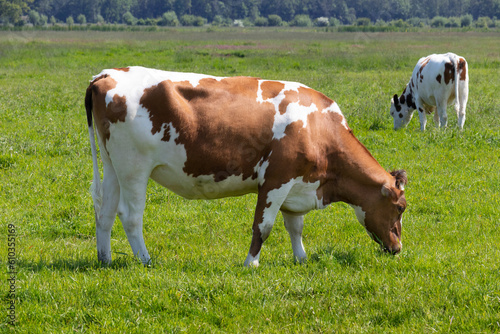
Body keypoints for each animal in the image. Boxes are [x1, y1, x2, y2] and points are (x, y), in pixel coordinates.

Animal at [85, 66, 406, 268]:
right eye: (401, 208)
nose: (398, 249)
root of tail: (106, 74)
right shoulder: (277, 178)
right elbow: (263, 226)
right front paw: (251, 263)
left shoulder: (298, 183)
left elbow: (295, 226)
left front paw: (301, 258)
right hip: (134, 168)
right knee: (130, 216)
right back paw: (146, 260)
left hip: (112, 167)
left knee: (105, 212)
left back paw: (105, 259)